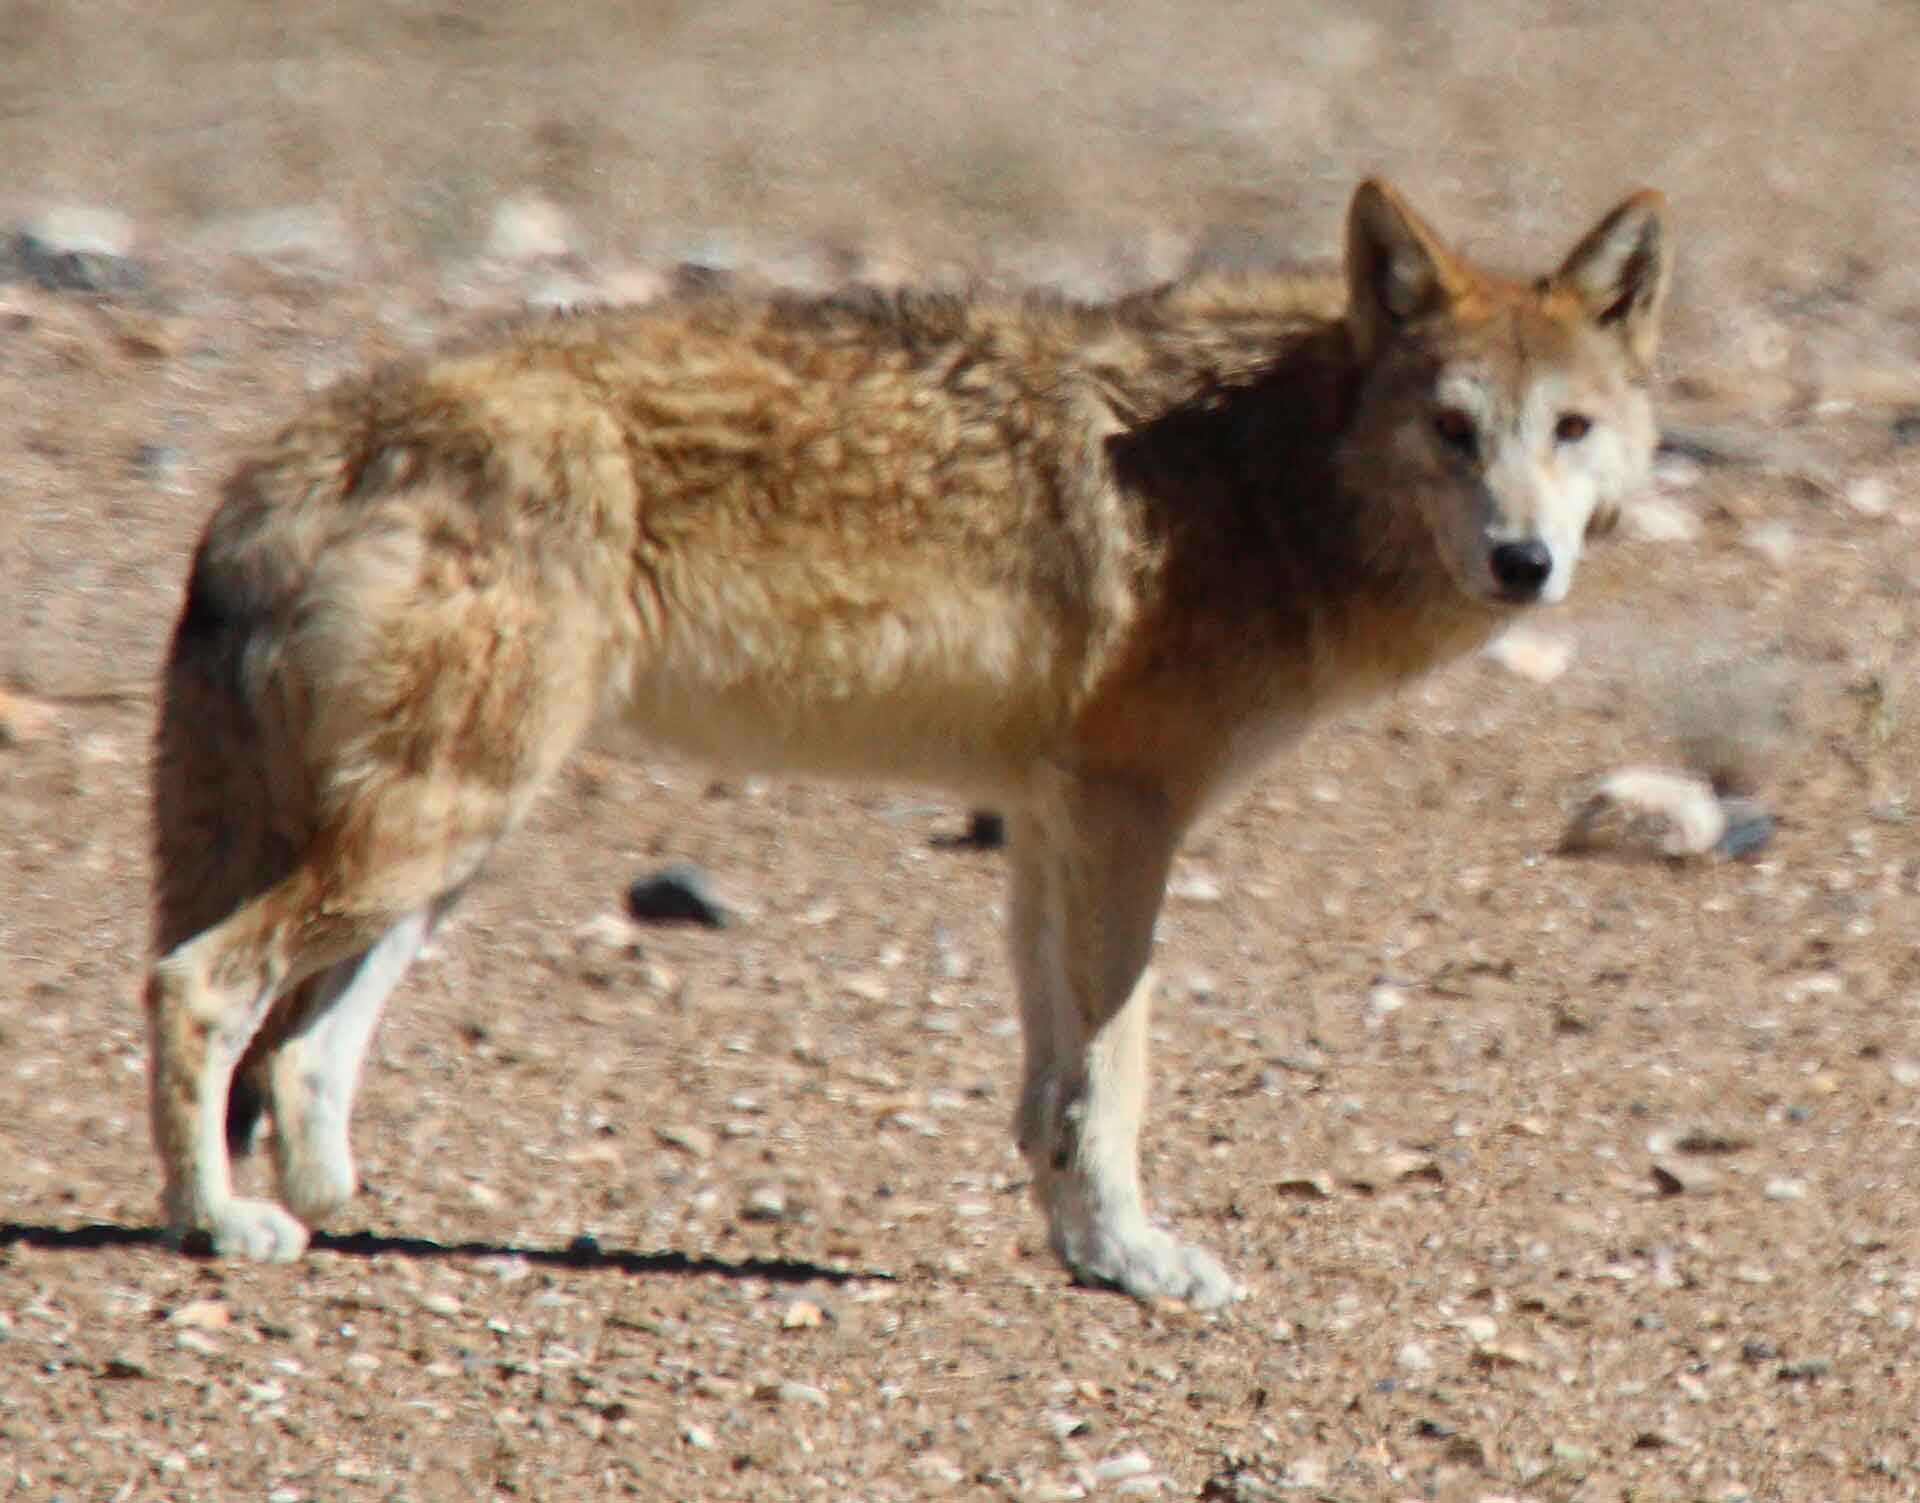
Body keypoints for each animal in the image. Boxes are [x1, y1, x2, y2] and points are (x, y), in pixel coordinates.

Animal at [145, 179, 1671, 1307]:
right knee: (195, 985)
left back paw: (321, 1209)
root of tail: (300, 444)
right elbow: (1117, 1075)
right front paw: (1140, 1261)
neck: (1264, 465)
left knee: (300, 1053)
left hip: (447, 843)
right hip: (434, 825)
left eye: (1570, 428)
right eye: (1454, 428)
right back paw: (216, 1223)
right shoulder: (1128, 811)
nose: (1526, 562)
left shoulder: (1052, 820)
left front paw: (1085, 1252)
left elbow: (1055, 1085)